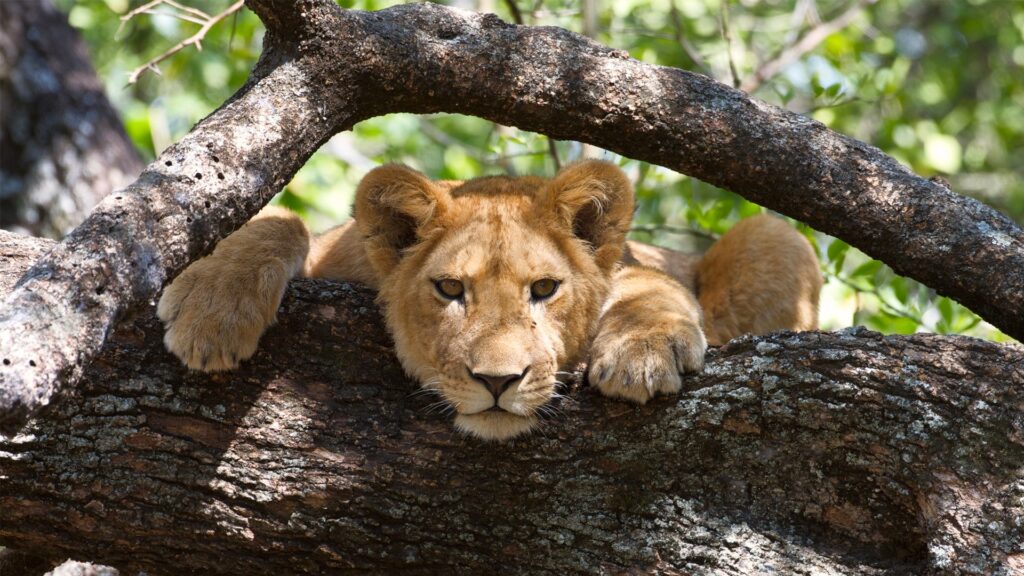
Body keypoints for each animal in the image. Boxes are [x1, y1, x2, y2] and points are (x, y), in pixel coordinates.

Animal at [155, 158, 819, 436]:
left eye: (545, 290)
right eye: (450, 289)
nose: (498, 382)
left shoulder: (636, 267)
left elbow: (650, 284)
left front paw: (642, 353)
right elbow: (283, 220)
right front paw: (211, 311)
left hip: (777, 235)